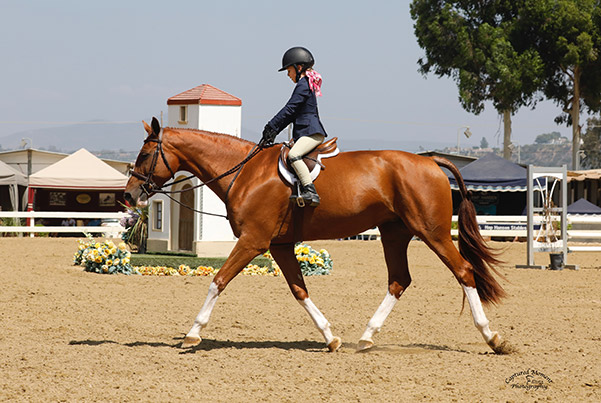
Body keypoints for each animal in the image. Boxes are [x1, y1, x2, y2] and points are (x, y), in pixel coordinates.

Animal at [124, 118, 508, 356]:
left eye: (144, 155)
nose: (129, 195)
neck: (245, 172)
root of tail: (430, 162)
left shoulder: (253, 241)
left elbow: (217, 281)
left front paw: (193, 334)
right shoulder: (278, 246)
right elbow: (300, 290)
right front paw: (330, 337)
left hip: (432, 232)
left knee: (464, 272)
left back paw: (493, 337)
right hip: (395, 233)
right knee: (399, 280)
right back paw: (366, 338)